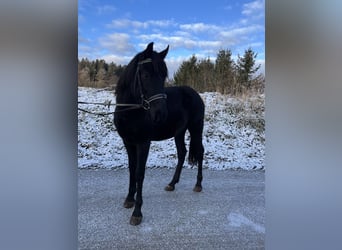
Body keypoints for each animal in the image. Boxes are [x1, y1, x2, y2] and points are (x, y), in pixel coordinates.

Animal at [115, 42, 204, 226]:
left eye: (163, 76)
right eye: (145, 75)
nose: (160, 114)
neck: (131, 110)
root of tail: (195, 94)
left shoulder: (143, 143)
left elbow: (140, 173)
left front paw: (137, 212)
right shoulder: (128, 142)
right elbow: (131, 170)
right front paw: (129, 199)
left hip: (196, 128)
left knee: (199, 152)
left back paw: (198, 184)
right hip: (179, 132)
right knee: (182, 153)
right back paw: (172, 183)